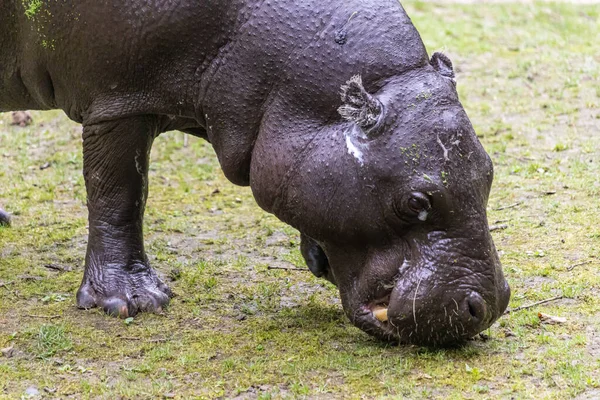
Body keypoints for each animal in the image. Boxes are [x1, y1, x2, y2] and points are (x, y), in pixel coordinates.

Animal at [0, 0, 508, 346]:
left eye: (489, 172)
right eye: (414, 202)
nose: (487, 306)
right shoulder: (118, 99)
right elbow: (119, 194)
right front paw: (133, 302)